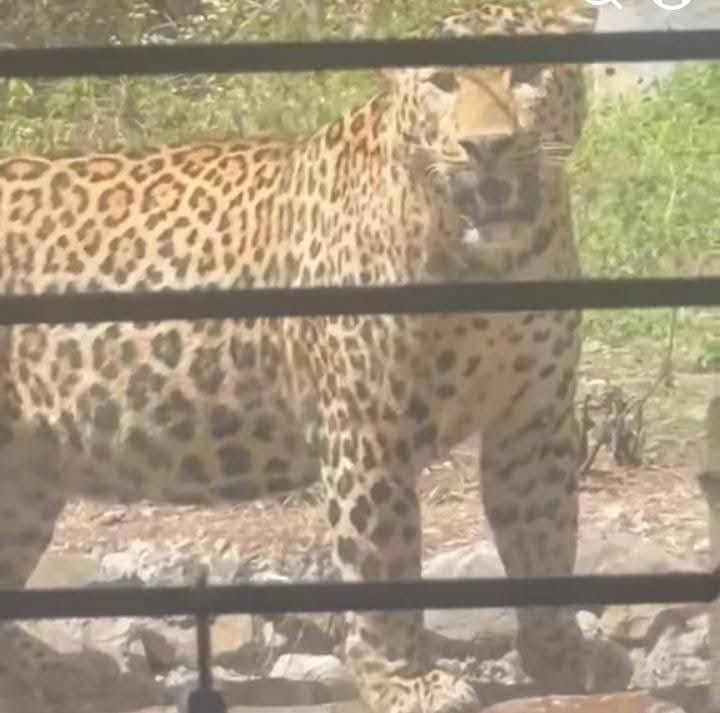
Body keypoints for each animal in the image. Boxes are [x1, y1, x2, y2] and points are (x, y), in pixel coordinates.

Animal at [0, 1, 630, 712]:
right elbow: (385, 561)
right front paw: (403, 680)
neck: (494, 261)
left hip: (22, 481)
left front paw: (562, 656)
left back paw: (71, 672)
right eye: (442, 82)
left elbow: (545, 538)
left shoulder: (532, 420)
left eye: (526, 73)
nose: (486, 146)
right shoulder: (367, 427)